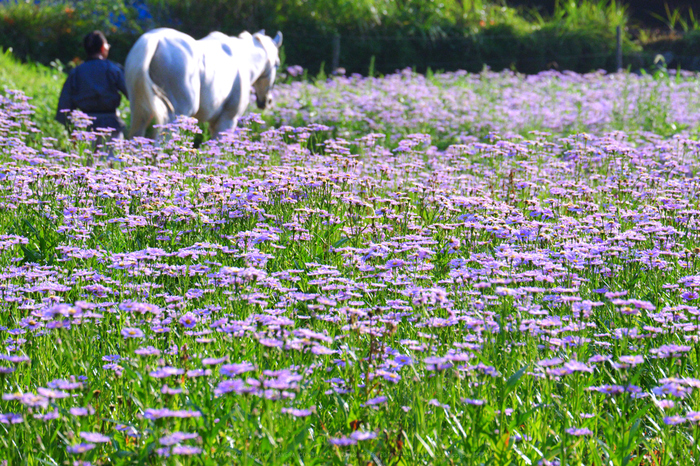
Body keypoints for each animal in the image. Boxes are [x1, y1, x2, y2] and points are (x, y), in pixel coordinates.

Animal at [126, 27, 282, 139]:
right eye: (277, 64)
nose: (267, 101)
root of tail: (155, 39)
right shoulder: (227, 120)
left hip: (140, 113)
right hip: (176, 115)